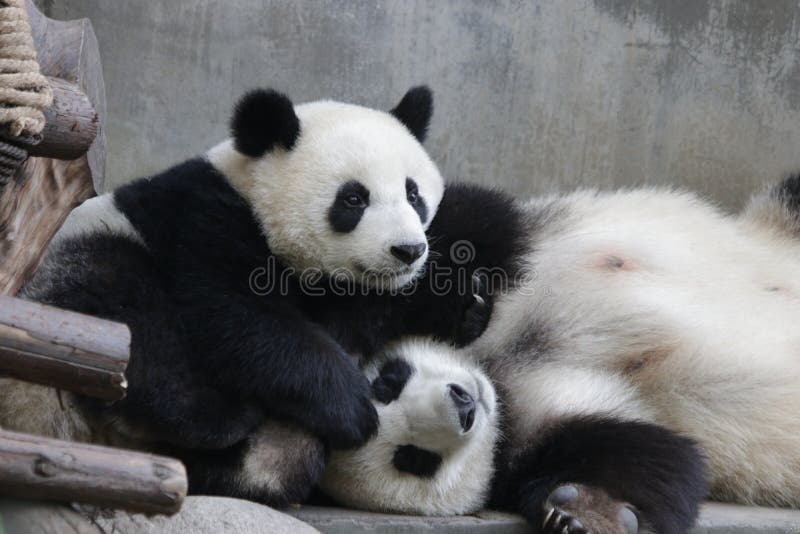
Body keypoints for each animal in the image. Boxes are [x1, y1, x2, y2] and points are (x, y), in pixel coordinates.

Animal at [0, 86, 506, 504]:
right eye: (354, 199)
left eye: (413, 193)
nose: (408, 250)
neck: (253, 192)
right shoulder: (204, 222)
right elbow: (242, 319)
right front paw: (352, 406)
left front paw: (465, 305)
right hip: (77, 270)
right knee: (125, 319)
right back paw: (219, 414)